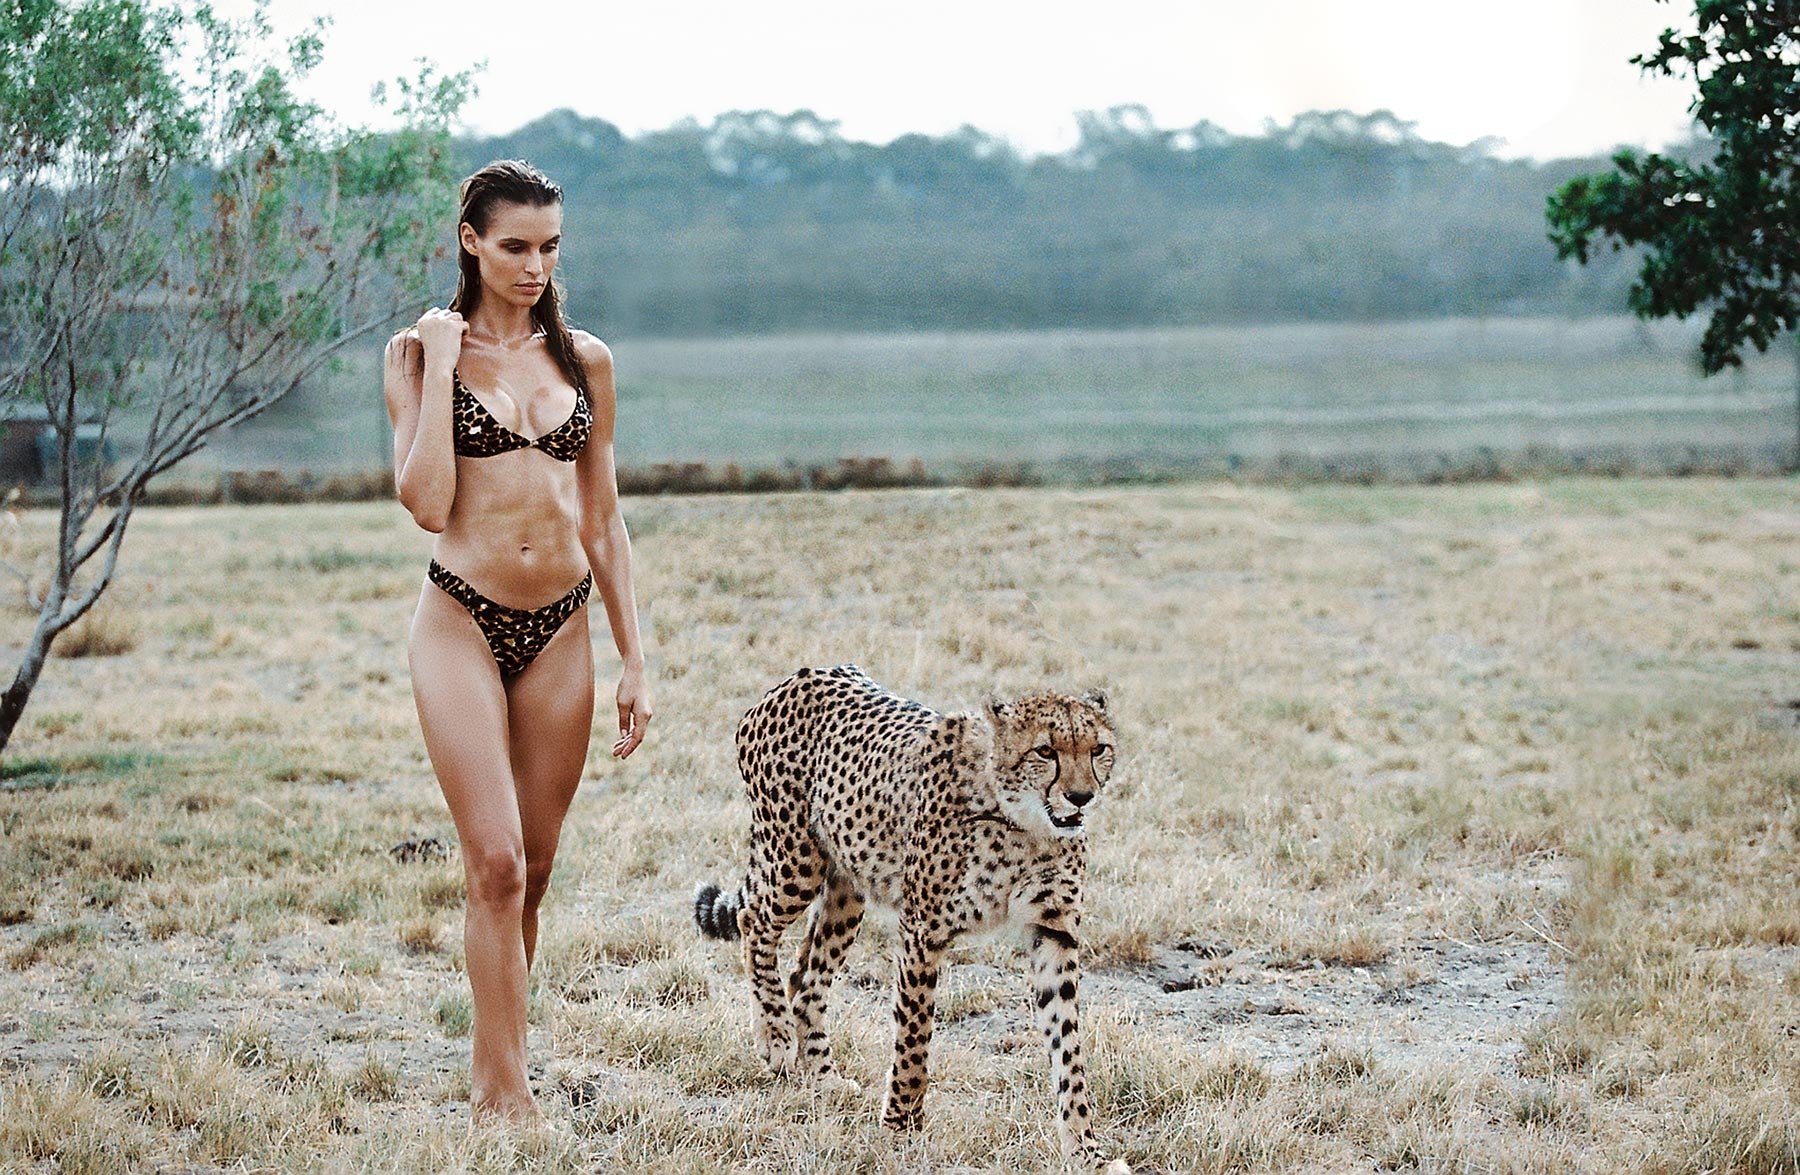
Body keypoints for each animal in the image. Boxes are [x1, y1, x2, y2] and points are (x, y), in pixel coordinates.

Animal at [693, 664, 1127, 1169]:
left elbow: (1068, 1047)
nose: (1081, 797)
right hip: (794, 859)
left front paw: (1087, 1151)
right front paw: (902, 1126)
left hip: (848, 887)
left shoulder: (1053, 934)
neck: (1024, 824)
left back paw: (822, 1077)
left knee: (807, 979)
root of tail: (802, 675)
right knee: (754, 922)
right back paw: (776, 1036)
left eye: (1098, 749)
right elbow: (915, 1033)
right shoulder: (923, 930)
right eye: (1046, 751)